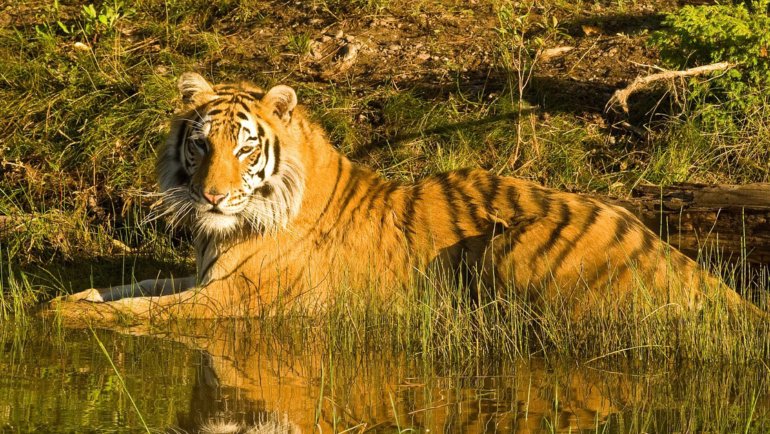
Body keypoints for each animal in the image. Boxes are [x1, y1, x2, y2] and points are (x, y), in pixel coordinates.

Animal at [51, 71, 764, 322]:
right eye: (201, 146)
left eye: (246, 150)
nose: (214, 198)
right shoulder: (204, 275)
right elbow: (133, 287)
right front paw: (63, 300)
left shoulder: (241, 296)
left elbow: (145, 313)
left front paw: (70, 319)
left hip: (511, 249)